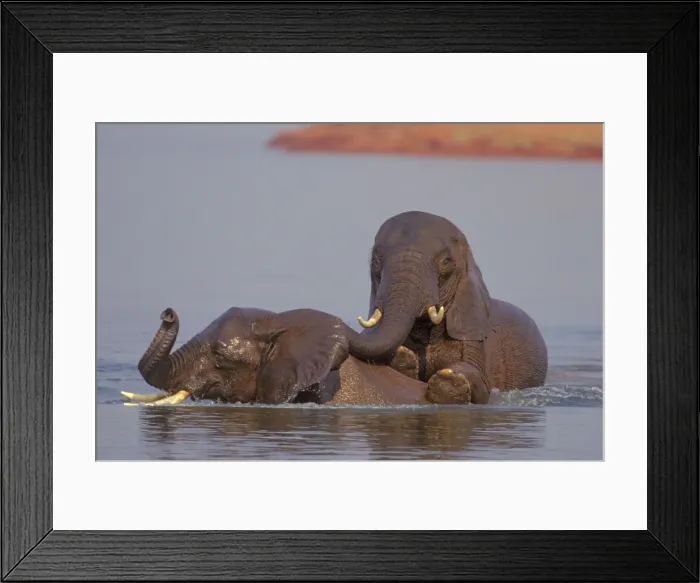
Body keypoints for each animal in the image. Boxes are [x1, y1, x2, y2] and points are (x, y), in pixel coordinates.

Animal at [346, 210, 548, 405]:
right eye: (375, 263)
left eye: (445, 262)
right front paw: (401, 359)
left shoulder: (473, 334)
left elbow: (482, 384)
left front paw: (449, 382)